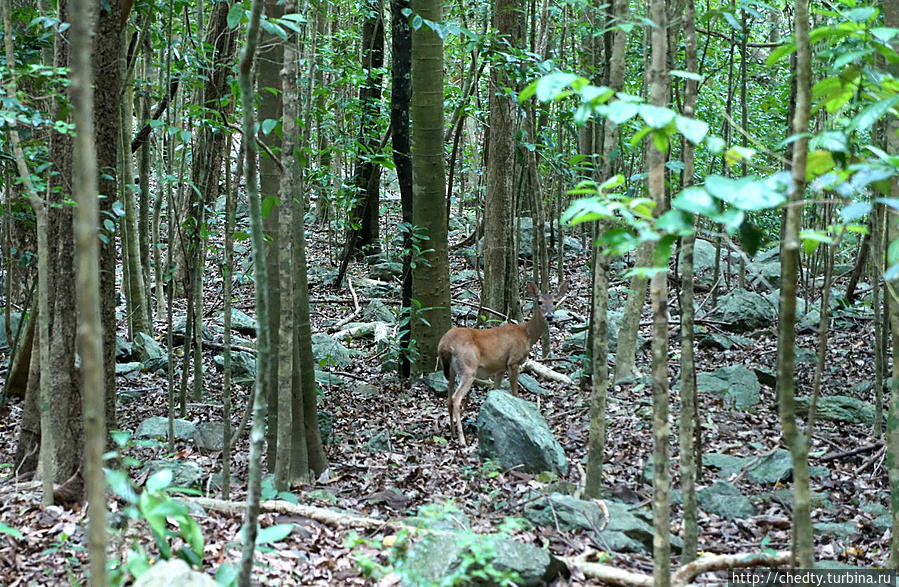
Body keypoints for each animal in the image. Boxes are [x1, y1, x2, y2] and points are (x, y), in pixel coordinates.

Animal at [438, 282, 568, 448]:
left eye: (554, 302)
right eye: (539, 302)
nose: (549, 316)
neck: (527, 334)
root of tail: (444, 345)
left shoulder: (499, 367)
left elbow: (496, 390)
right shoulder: (513, 361)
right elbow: (515, 392)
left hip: (451, 370)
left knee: (448, 399)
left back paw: (453, 433)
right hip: (468, 368)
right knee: (455, 398)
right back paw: (462, 440)